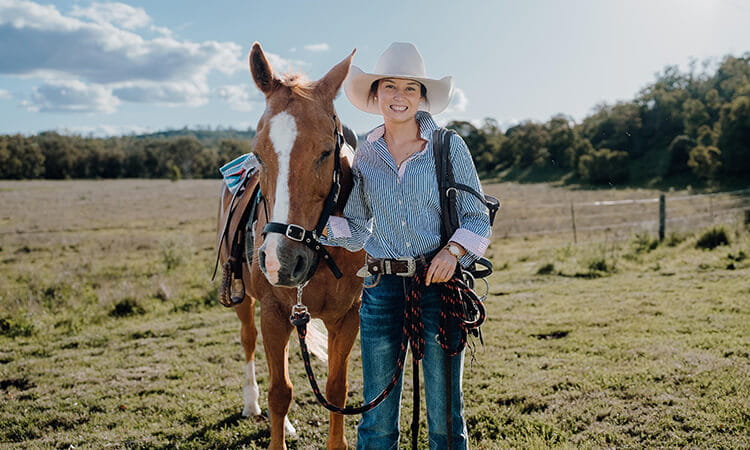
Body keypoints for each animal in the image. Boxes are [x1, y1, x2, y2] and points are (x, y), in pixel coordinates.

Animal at [217, 43, 368, 450]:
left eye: (326, 152)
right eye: (259, 154)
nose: (280, 261)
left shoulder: (347, 317)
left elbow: (336, 388)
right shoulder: (273, 312)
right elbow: (280, 392)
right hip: (246, 300)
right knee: (250, 343)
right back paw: (252, 404)